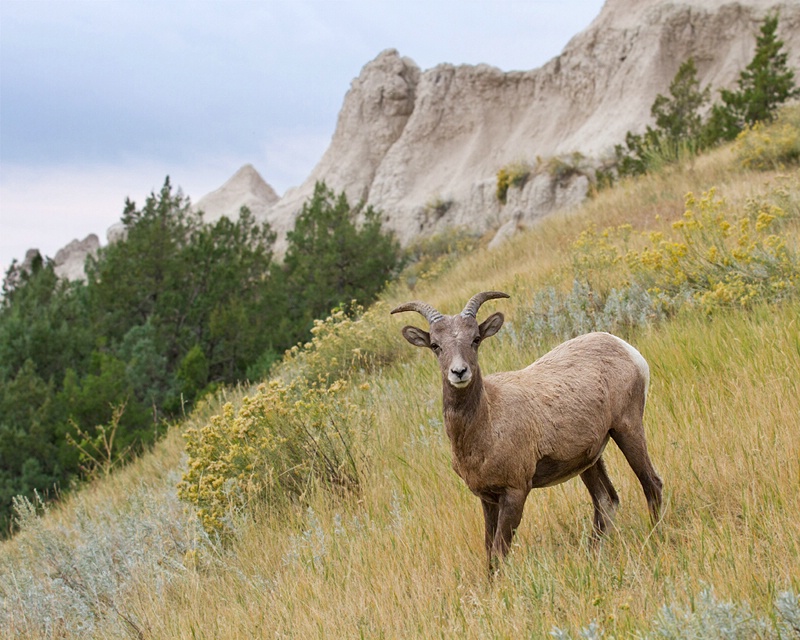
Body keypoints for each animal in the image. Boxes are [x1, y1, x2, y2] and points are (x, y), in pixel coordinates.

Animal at [392, 292, 664, 572]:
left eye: (475, 339)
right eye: (435, 345)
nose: (459, 372)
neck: (486, 427)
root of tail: (626, 349)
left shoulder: (515, 492)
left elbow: (499, 552)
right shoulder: (488, 499)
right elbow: (490, 554)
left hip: (627, 429)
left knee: (651, 484)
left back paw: (655, 540)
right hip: (588, 460)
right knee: (606, 501)